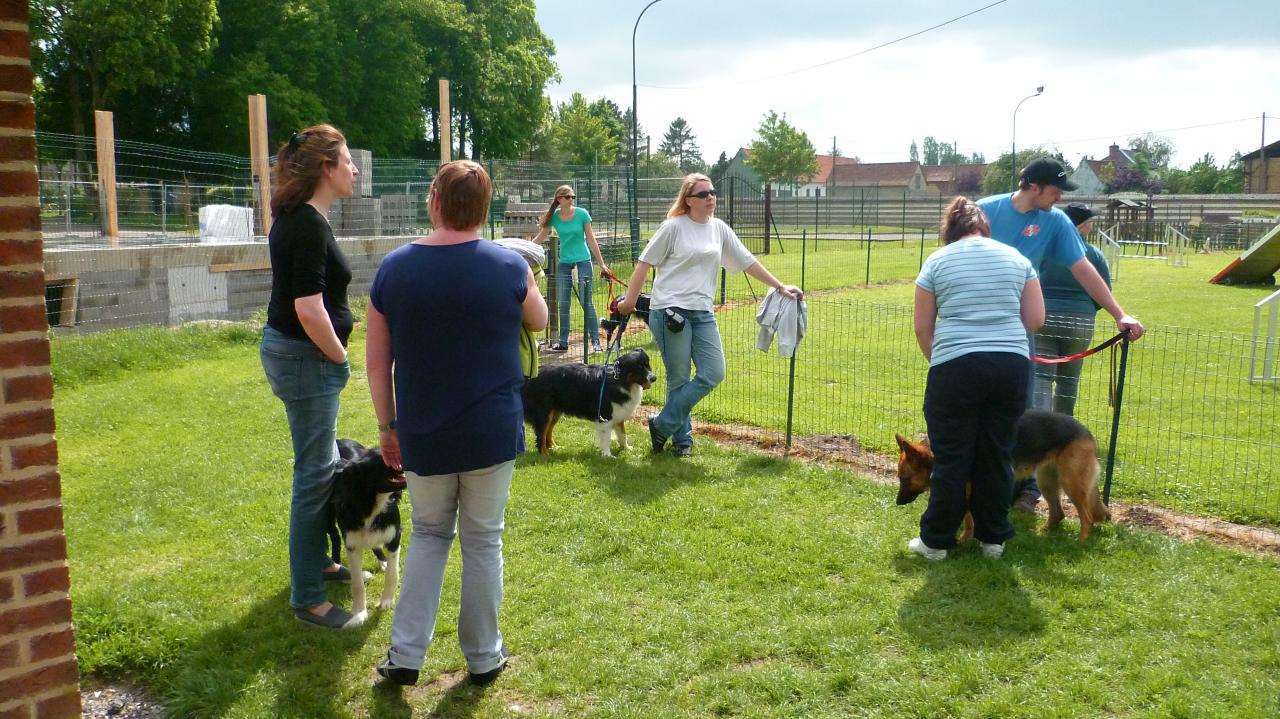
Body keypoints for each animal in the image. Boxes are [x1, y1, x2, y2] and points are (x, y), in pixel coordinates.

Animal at [330, 437, 404, 621]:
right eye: (383, 459)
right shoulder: (352, 544)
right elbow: (357, 582)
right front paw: (359, 612)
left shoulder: (394, 536)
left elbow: (392, 573)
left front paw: (386, 601)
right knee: (334, 538)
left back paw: (383, 561)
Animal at [522, 345, 655, 452]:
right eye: (639, 367)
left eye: (648, 364)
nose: (654, 378)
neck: (620, 381)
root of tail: (532, 374)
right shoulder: (605, 417)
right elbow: (606, 439)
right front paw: (607, 455)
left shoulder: (619, 414)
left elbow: (623, 435)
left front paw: (627, 449)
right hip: (544, 414)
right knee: (541, 436)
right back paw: (545, 455)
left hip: (555, 413)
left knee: (548, 432)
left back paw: (554, 447)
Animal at [901, 409, 1111, 537]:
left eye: (904, 478)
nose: (898, 502)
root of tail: (1087, 432)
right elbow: (968, 517)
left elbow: (970, 518)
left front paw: (965, 540)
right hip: (1046, 482)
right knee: (1058, 514)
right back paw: (1042, 534)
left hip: (1071, 484)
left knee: (1087, 518)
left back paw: (1080, 543)